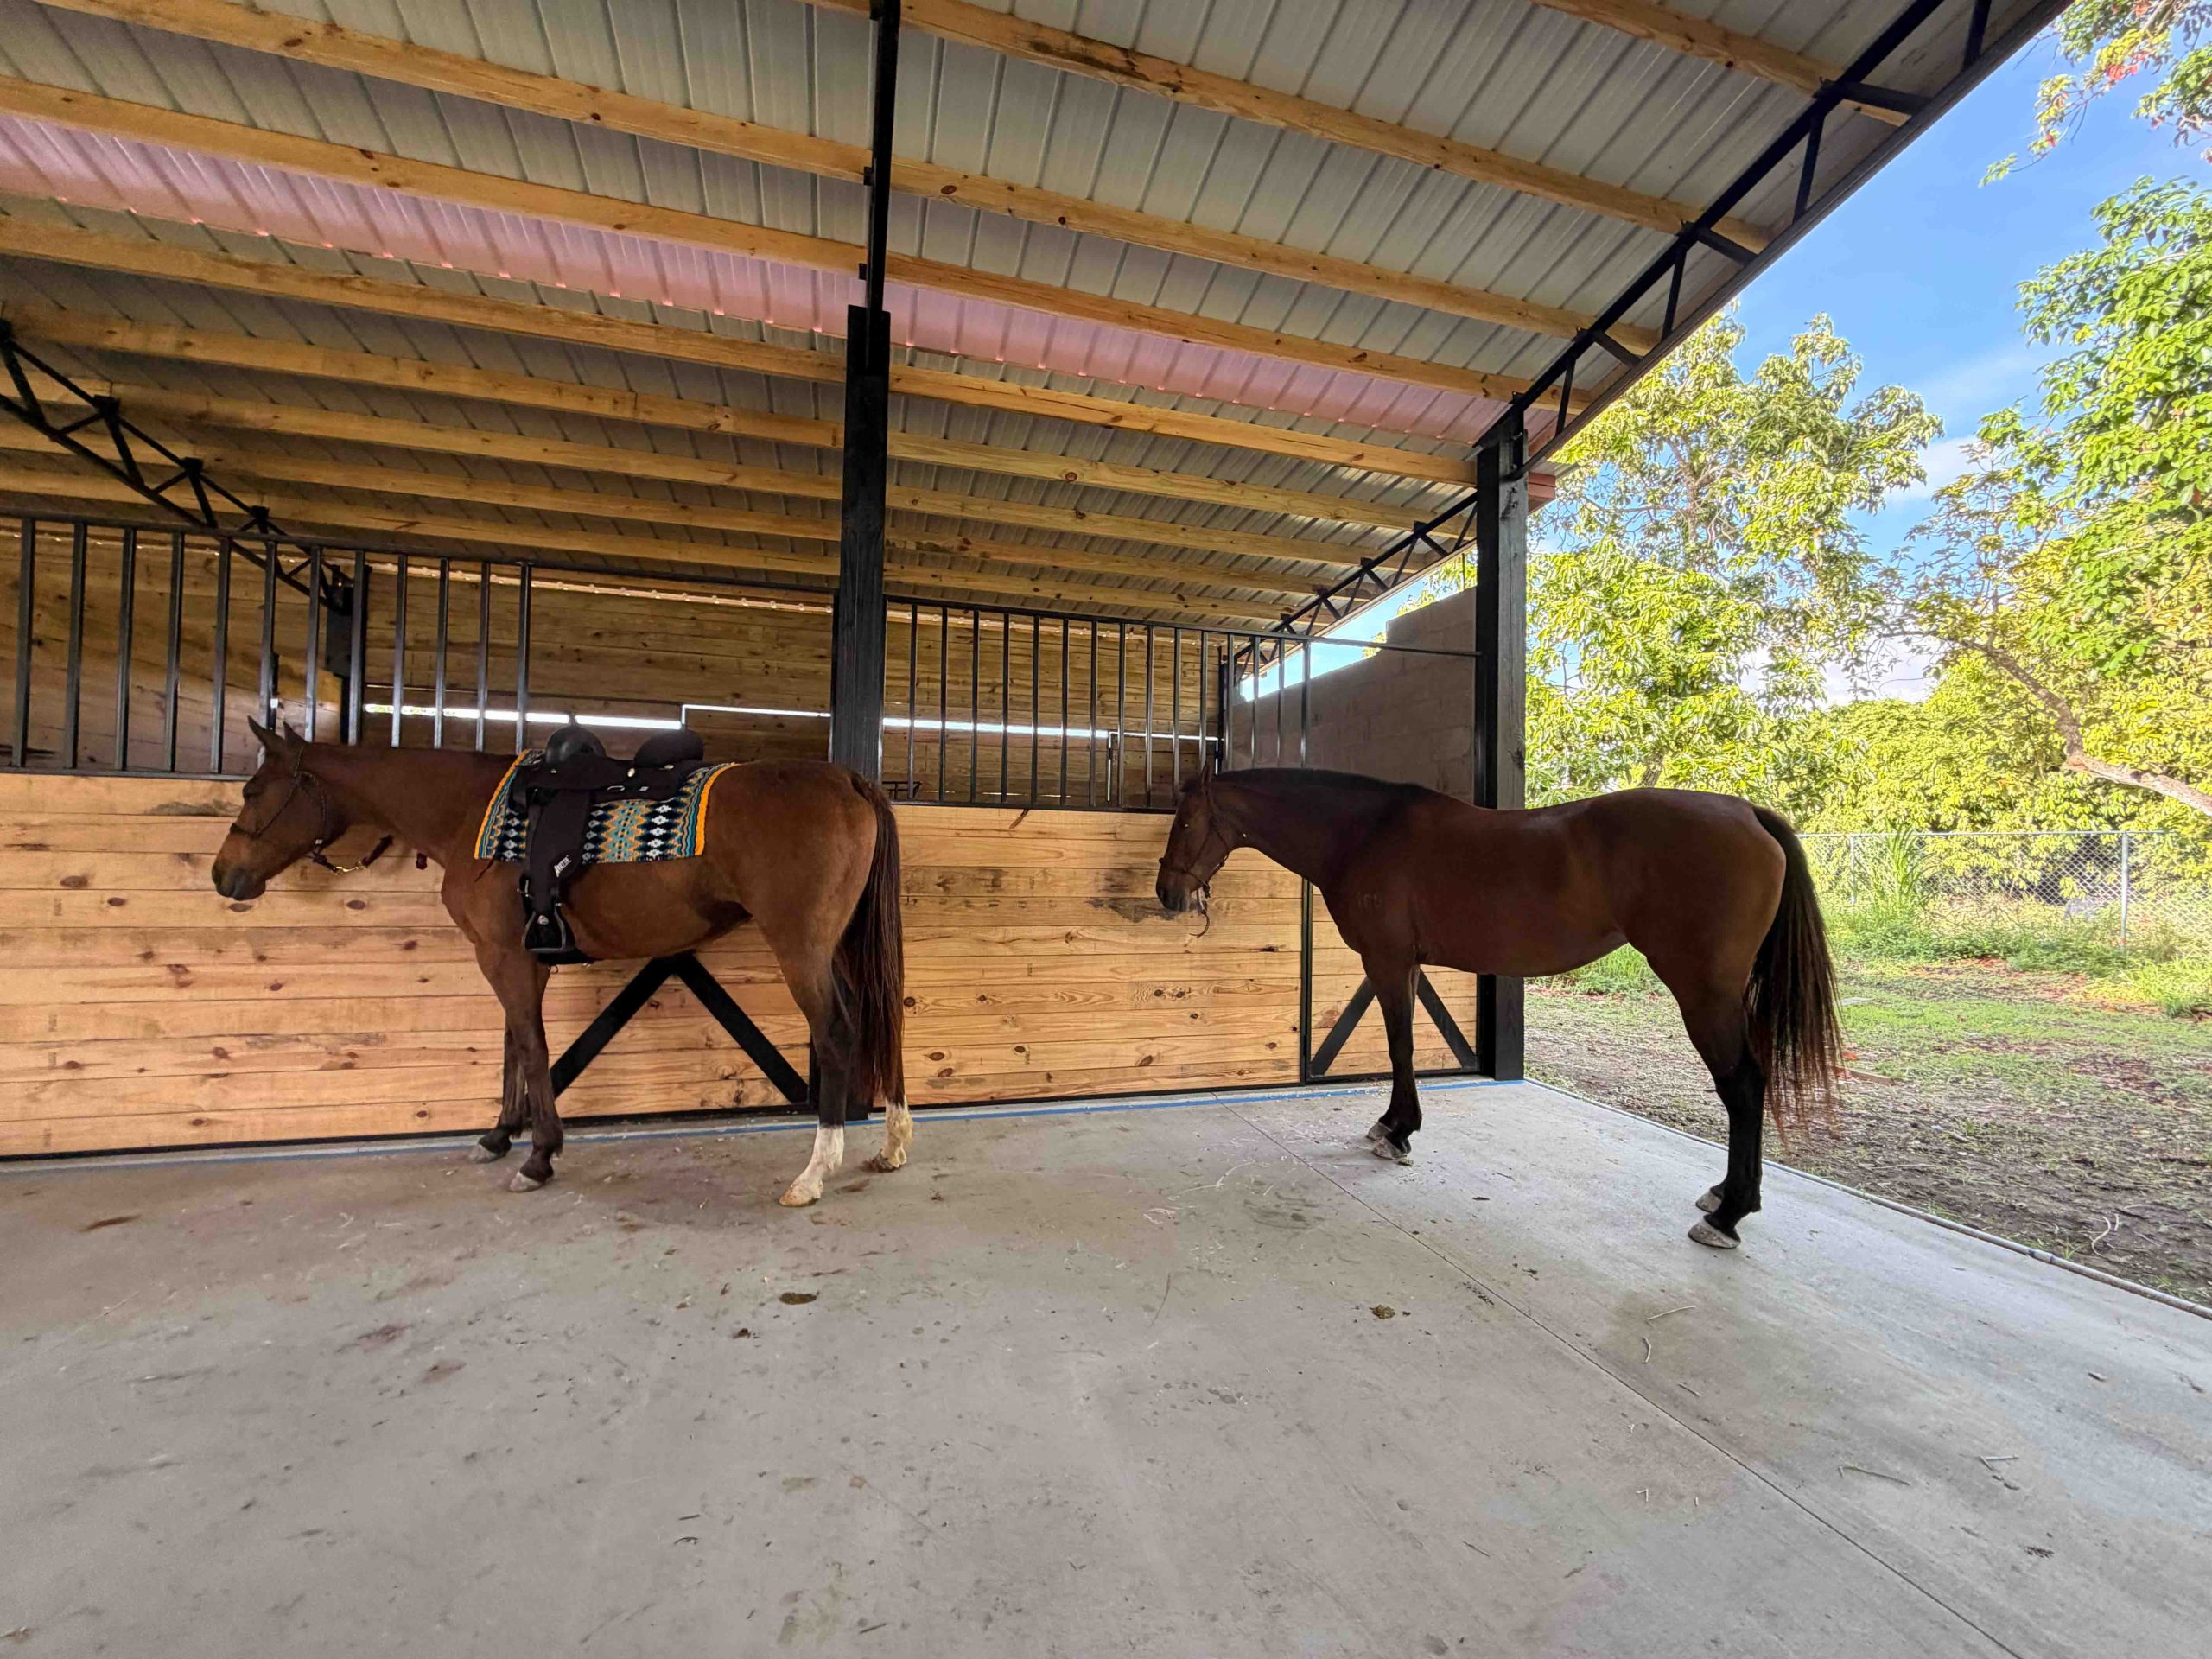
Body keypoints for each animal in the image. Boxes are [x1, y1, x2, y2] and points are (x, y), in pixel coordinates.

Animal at [209, 720, 911, 1207]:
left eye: (252, 789)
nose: (223, 876)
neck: (468, 809)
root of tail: (847, 779)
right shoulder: (515, 955)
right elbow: (513, 1045)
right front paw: (499, 1135)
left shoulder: (504, 956)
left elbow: (531, 1043)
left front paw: (538, 1155)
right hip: (839, 945)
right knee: (883, 1015)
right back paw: (893, 1145)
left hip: (801, 947)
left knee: (839, 1030)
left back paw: (814, 1172)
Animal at [1155, 769, 1841, 1249]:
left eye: (1184, 822)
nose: (1166, 892)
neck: (1365, 834)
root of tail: (1747, 813)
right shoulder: (1407, 965)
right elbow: (1402, 1044)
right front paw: (1394, 1124)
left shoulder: (1385, 959)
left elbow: (1400, 1044)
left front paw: (1398, 1134)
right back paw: (1724, 1195)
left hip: (1704, 992)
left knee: (1743, 1085)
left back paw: (1728, 1215)